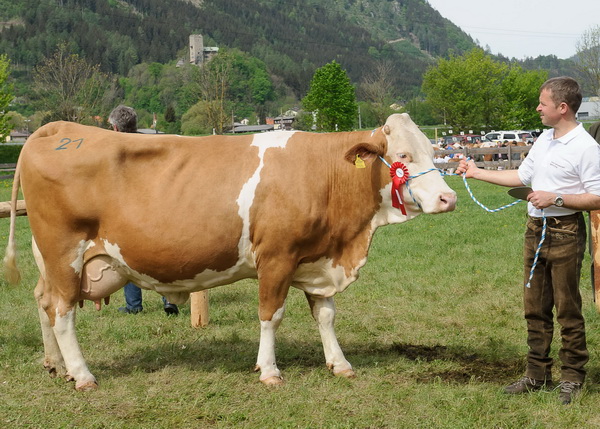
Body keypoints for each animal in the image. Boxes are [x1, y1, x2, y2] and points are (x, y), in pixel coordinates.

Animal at [3, 112, 454, 390]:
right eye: (402, 156)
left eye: (434, 151)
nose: (448, 198)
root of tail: (54, 129)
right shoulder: (277, 256)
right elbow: (271, 315)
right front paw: (269, 371)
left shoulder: (317, 260)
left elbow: (326, 315)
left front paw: (339, 363)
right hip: (64, 252)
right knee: (63, 314)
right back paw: (82, 375)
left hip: (51, 261)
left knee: (44, 303)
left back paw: (56, 366)